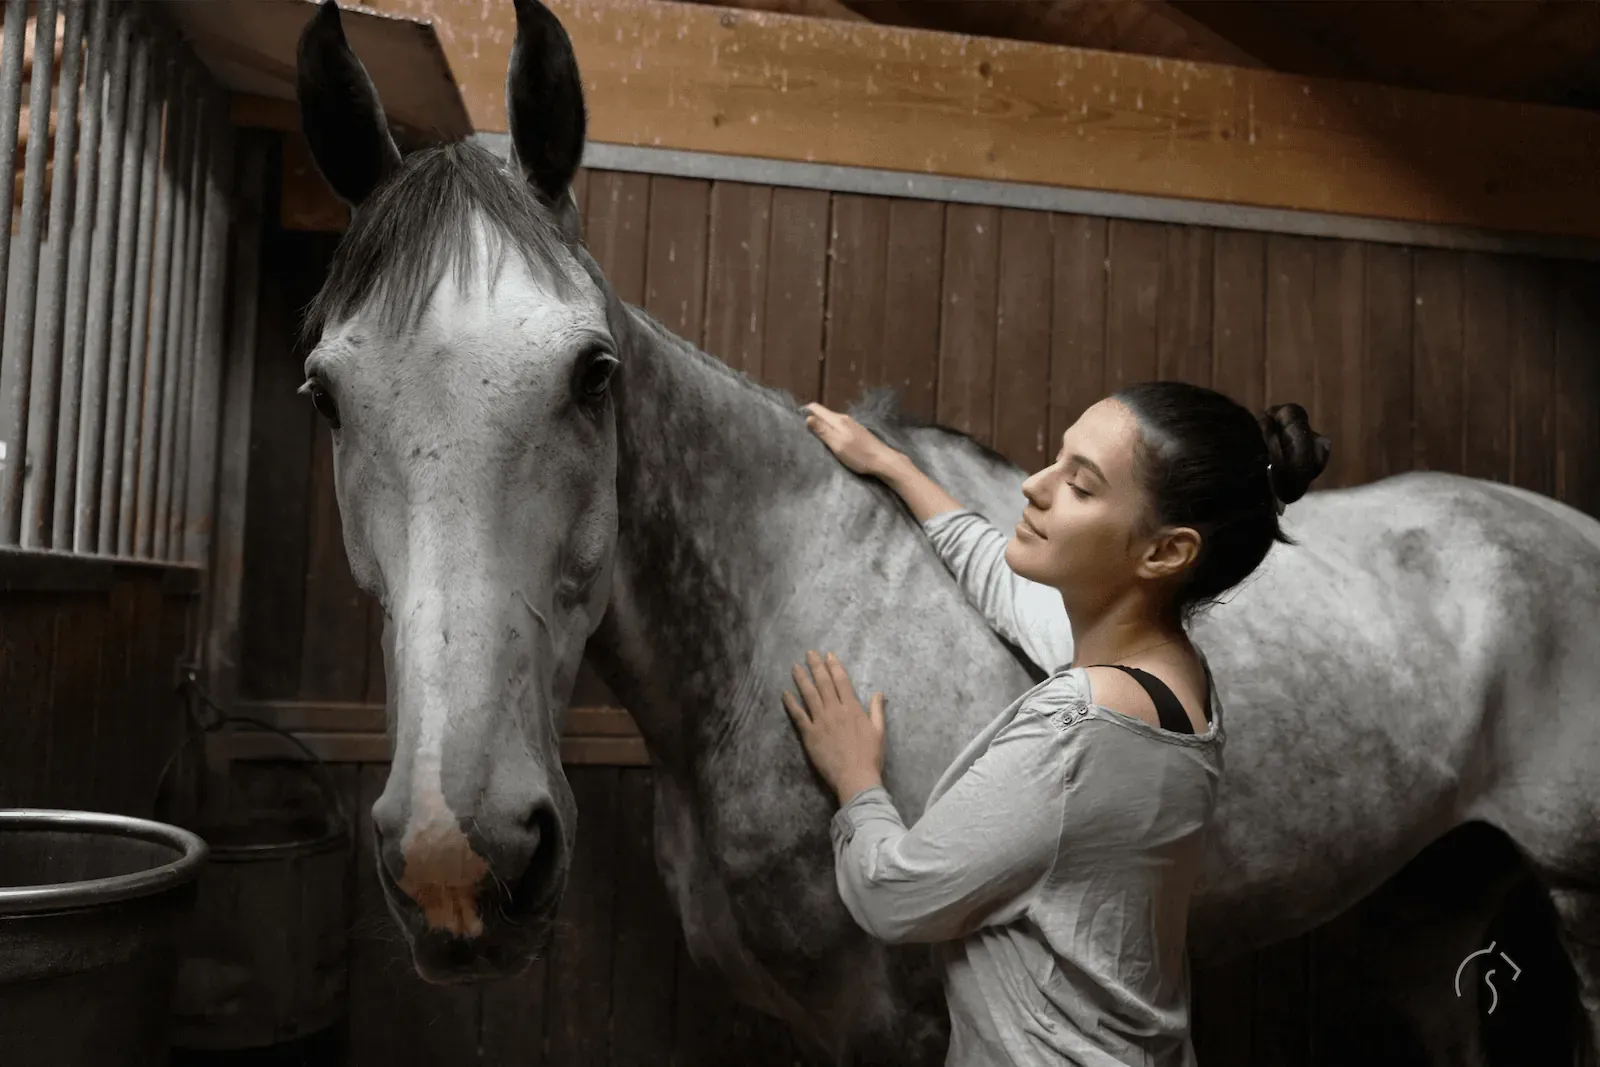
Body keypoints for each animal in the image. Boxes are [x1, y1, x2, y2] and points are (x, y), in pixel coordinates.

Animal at [293, 1, 1600, 1062]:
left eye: (592, 371)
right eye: (325, 394)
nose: (459, 859)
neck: (781, 619)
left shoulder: (904, 1019)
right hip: (1428, 903)